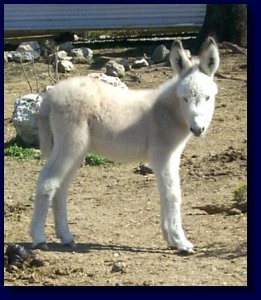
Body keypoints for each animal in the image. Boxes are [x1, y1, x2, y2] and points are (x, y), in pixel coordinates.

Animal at [30, 37, 219, 253]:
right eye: (185, 98)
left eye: (208, 97)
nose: (198, 128)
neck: (167, 112)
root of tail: (49, 97)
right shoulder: (162, 155)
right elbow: (172, 194)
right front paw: (181, 242)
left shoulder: (169, 157)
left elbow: (165, 193)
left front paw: (169, 238)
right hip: (69, 143)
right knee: (47, 181)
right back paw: (38, 238)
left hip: (76, 150)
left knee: (60, 187)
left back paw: (66, 236)